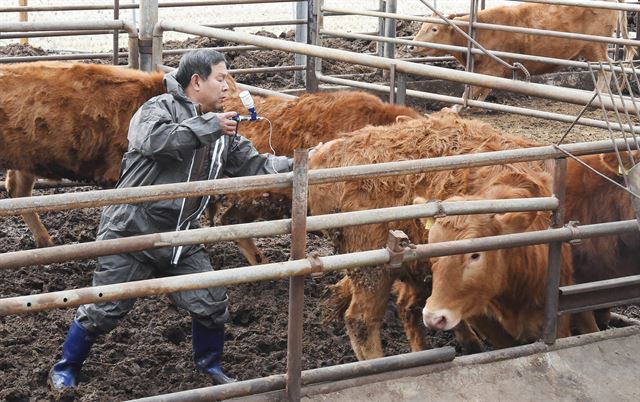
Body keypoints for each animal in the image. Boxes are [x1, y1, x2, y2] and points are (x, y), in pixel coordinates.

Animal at [410, 1, 636, 112]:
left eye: (434, 29)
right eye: (423, 26)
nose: (412, 46)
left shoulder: (491, 68)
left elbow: (473, 88)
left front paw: (455, 107)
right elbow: (480, 88)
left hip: (595, 45)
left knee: (606, 68)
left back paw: (597, 97)